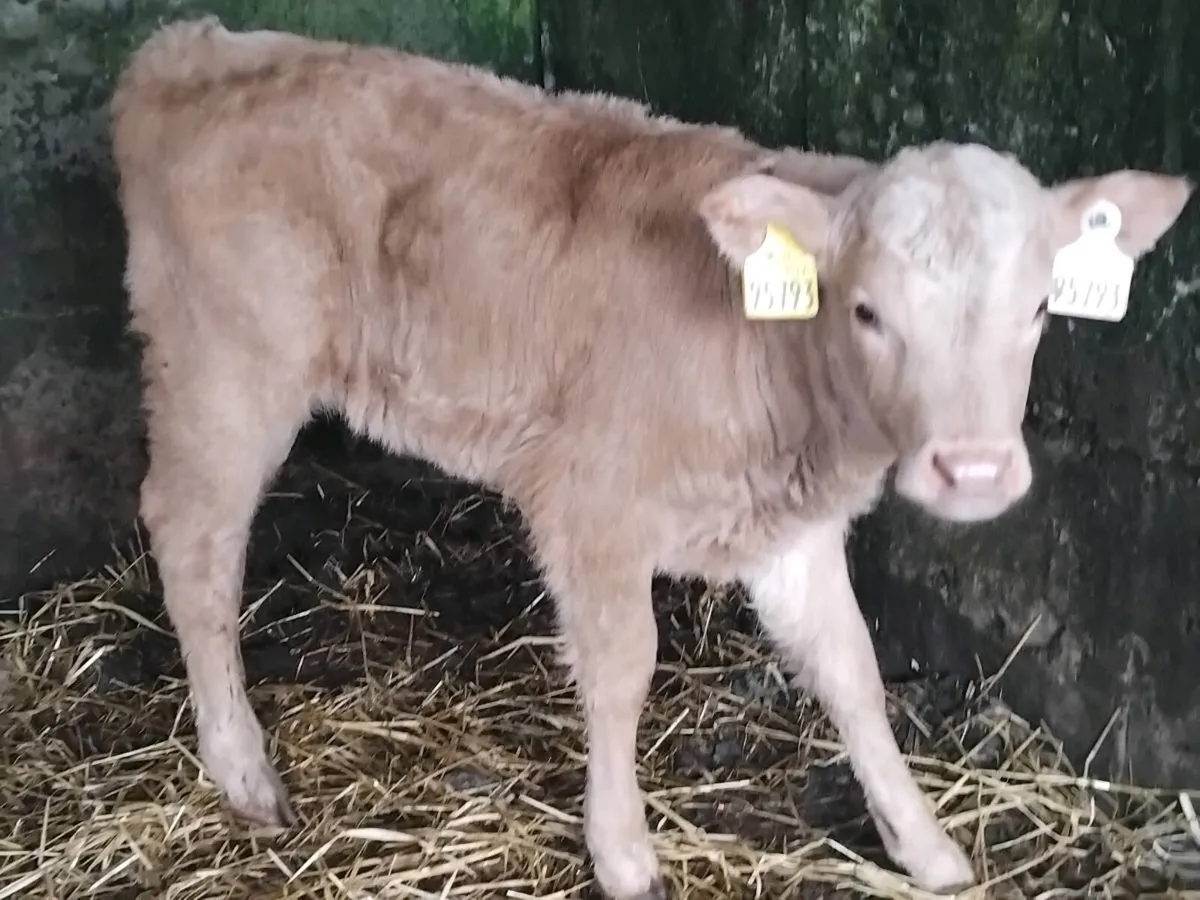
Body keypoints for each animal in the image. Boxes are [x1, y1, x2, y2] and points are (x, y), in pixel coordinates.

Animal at [109, 18, 1193, 899]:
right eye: (866, 310)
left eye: (1042, 306)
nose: (972, 469)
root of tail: (187, 48)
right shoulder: (590, 506)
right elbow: (625, 668)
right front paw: (624, 853)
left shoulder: (789, 532)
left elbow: (850, 670)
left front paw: (923, 844)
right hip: (224, 369)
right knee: (194, 541)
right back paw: (243, 770)